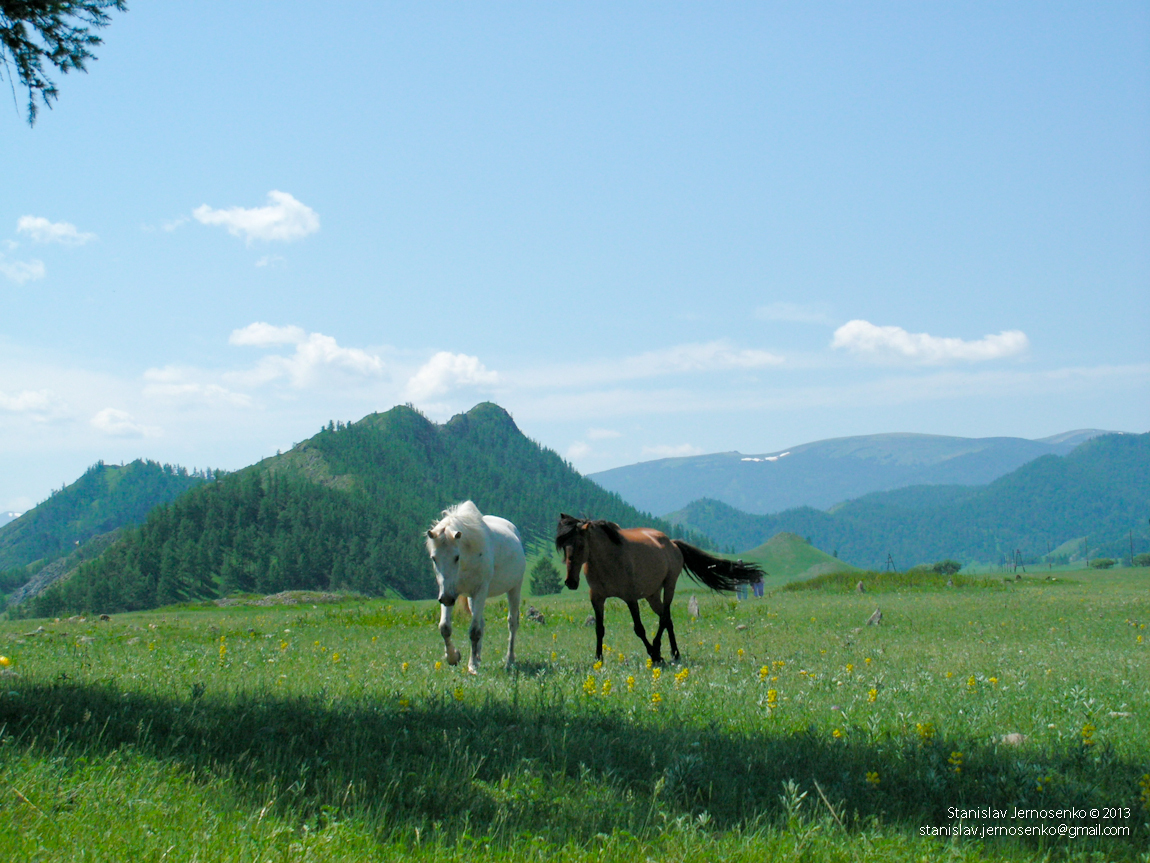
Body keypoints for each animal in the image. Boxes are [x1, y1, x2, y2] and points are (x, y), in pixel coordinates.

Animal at [427, 499, 526, 676]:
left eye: (456, 557)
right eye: (434, 558)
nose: (446, 598)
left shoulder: (479, 591)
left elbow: (474, 631)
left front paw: (472, 665)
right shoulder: (451, 592)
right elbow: (445, 627)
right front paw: (453, 657)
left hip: (514, 588)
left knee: (512, 623)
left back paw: (509, 661)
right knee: (481, 622)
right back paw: (479, 657)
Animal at [554, 517, 763, 667]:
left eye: (581, 545)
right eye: (564, 547)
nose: (570, 582)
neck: (608, 560)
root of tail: (673, 543)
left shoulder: (630, 597)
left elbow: (639, 629)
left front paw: (654, 655)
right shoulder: (597, 598)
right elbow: (599, 629)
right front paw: (598, 658)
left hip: (669, 586)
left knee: (664, 617)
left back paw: (658, 650)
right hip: (652, 595)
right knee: (667, 618)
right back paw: (674, 653)